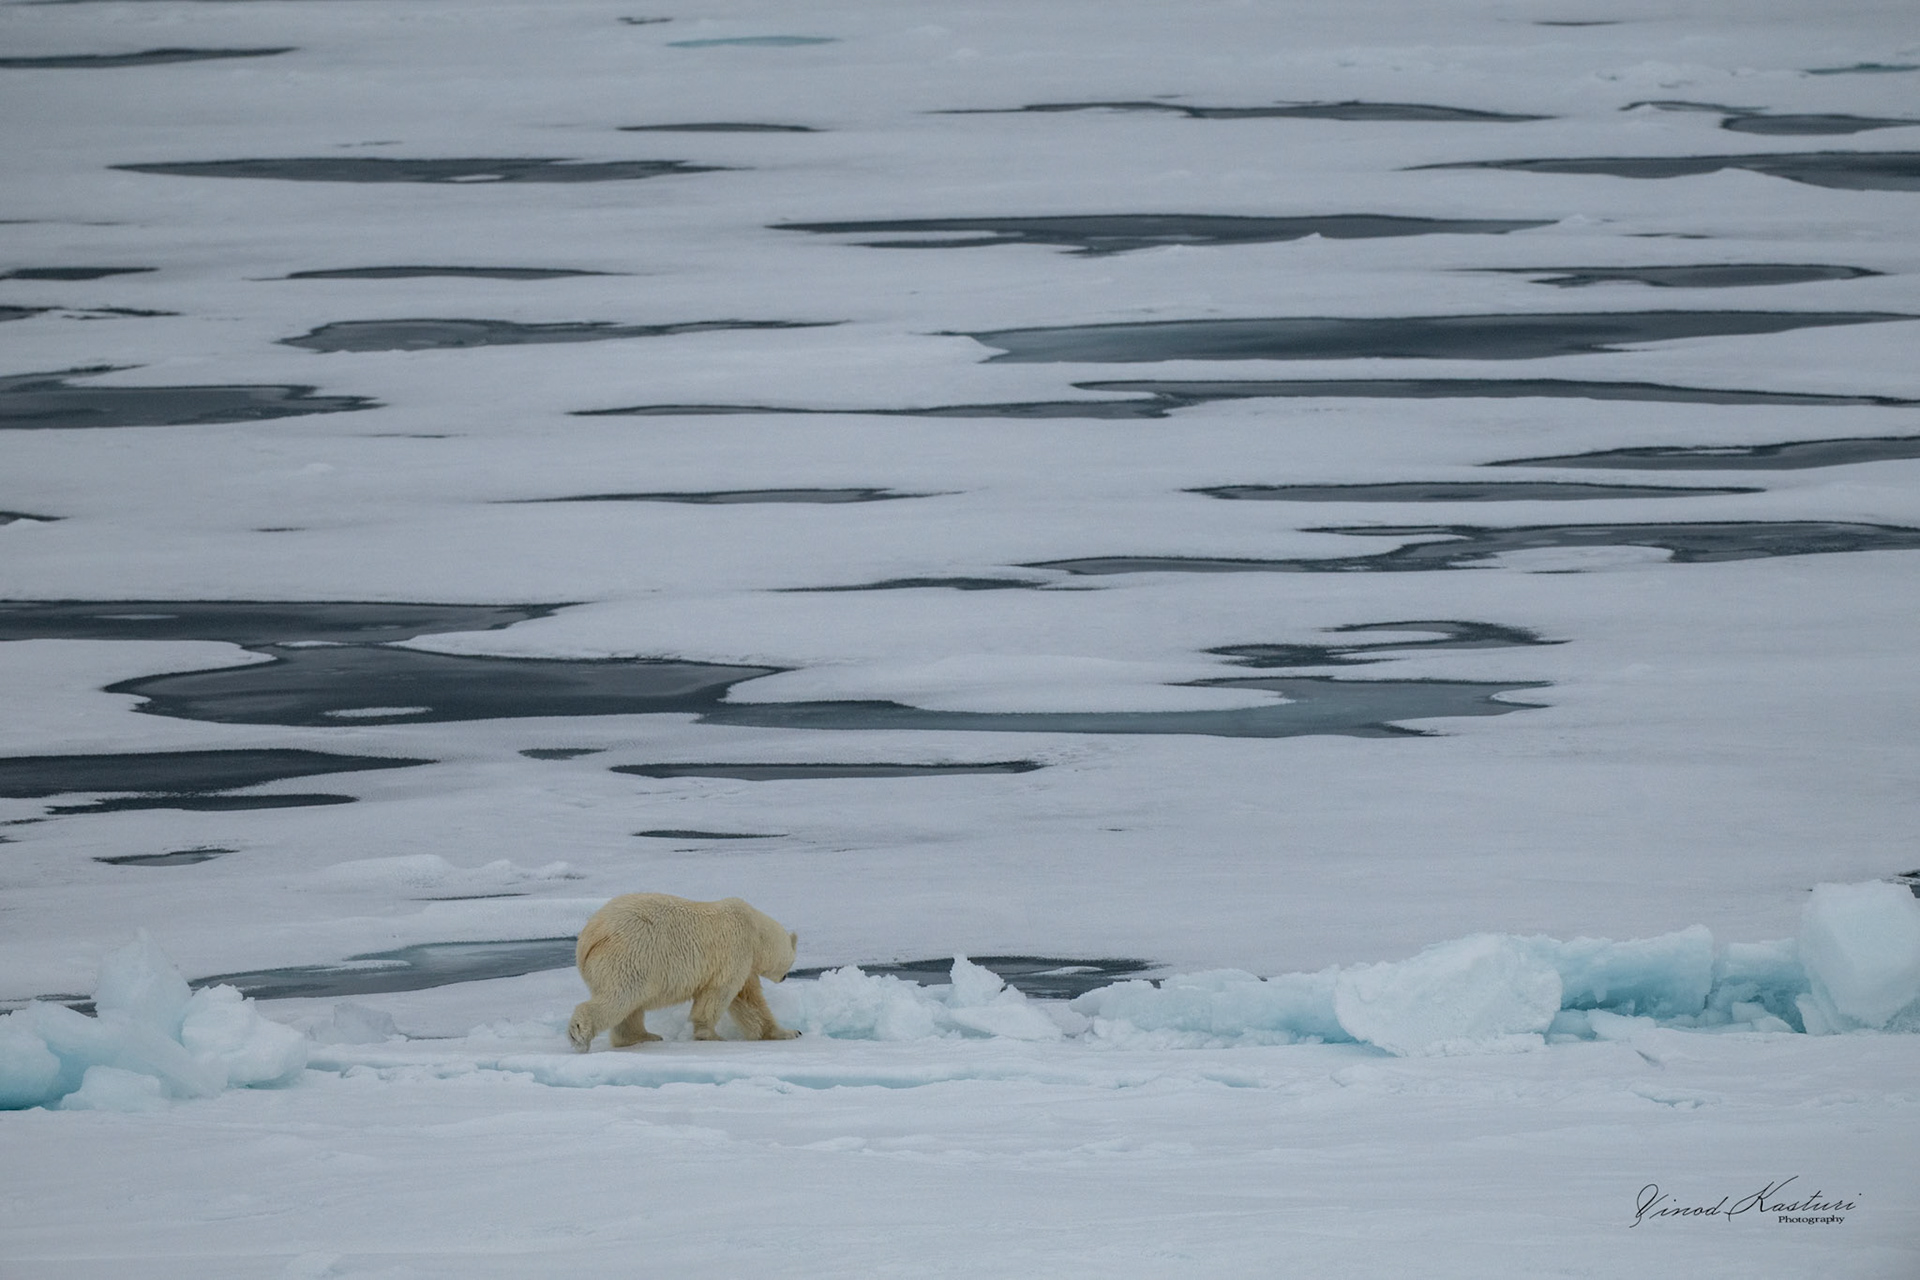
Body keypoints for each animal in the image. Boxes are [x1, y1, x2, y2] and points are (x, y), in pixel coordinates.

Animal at [567, 893, 800, 1051]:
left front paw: (789, 1032)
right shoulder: (735, 951)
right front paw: (710, 1035)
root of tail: (589, 936)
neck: (755, 929)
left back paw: (643, 1036)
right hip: (631, 956)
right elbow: (720, 993)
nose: (785, 977)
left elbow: (749, 1001)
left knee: (630, 1007)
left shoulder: (744, 962)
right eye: (792, 961)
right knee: (621, 997)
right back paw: (579, 1034)